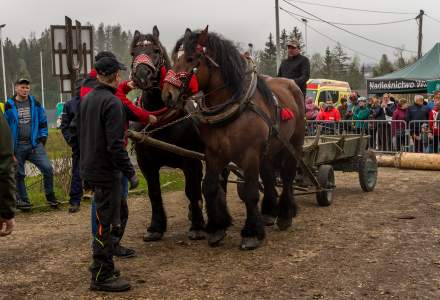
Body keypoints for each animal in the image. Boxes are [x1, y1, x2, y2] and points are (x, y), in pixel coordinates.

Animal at [130, 25, 205, 241]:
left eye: (156, 51)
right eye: (133, 53)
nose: (142, 75)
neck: (160, 119)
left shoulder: (191, 160)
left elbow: (191, 190)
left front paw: (197, 225)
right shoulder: (146, 163)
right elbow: (154, 192)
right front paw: (156, 227)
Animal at [160, 27, 304, 250]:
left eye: (191, 59)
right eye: (175, 57)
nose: (168, 95)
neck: (234, 106)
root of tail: (291, 85)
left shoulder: (250, 153)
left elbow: (251, 191)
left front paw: (251, 233)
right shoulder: (213, 154)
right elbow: (209, 187)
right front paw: (216, 229)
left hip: (293, 144)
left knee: (287, 176)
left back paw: (285, 215)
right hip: (270, 149)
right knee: (269, 175)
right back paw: (268, 213)